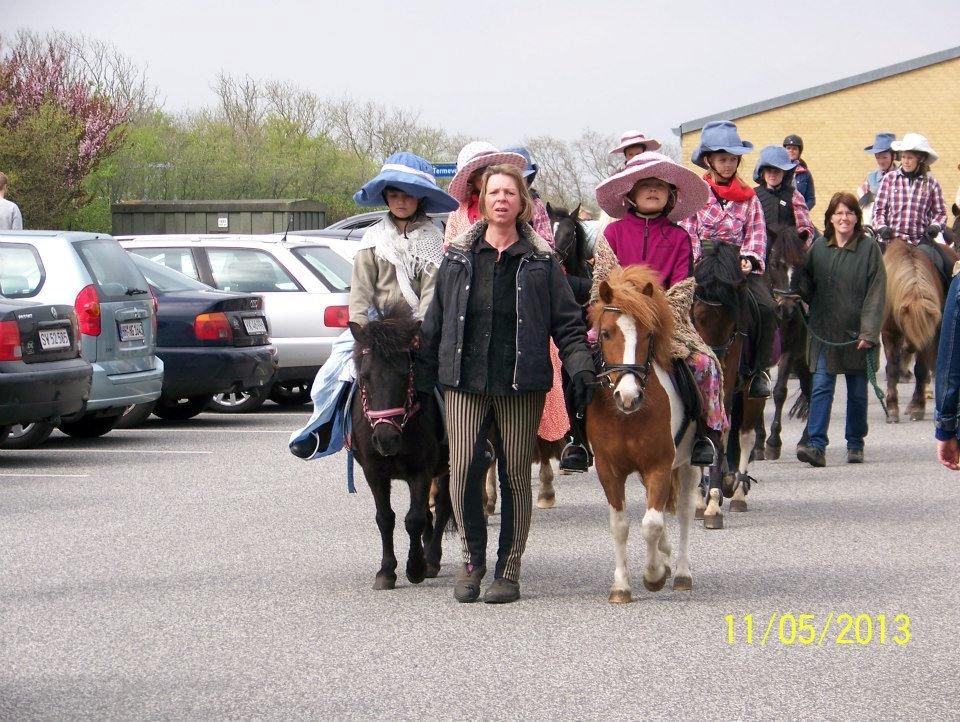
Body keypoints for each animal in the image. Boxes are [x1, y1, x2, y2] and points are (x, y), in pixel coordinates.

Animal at [350, 300, 452, 588]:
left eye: (406, 373)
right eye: (365, 376)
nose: (386, 439)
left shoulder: (421, 471)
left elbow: (414, 519)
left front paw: (416, 567)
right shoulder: (374, 472)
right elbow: (386, 518)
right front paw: (386, 571)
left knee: (442, 507)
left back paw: (432, 558)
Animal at [584, 264, 696, 600]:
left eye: (649, 334)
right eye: (605, 333)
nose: (628, 395)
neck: (627, 417)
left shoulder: (659, 465)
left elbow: (652, 524)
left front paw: (653, 574)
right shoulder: (608, 469)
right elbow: (620, 525)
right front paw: (621, 587)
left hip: (690, 464)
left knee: (684, 512)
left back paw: (681, 572)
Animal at [692, 239, 768, 524]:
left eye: (732, 322)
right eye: (697, 317)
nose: (714, 361)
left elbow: (720, 435)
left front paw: (713, 504)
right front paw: (699, 499)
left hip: (750, 392)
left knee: (745, 435)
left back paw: (737, 494)